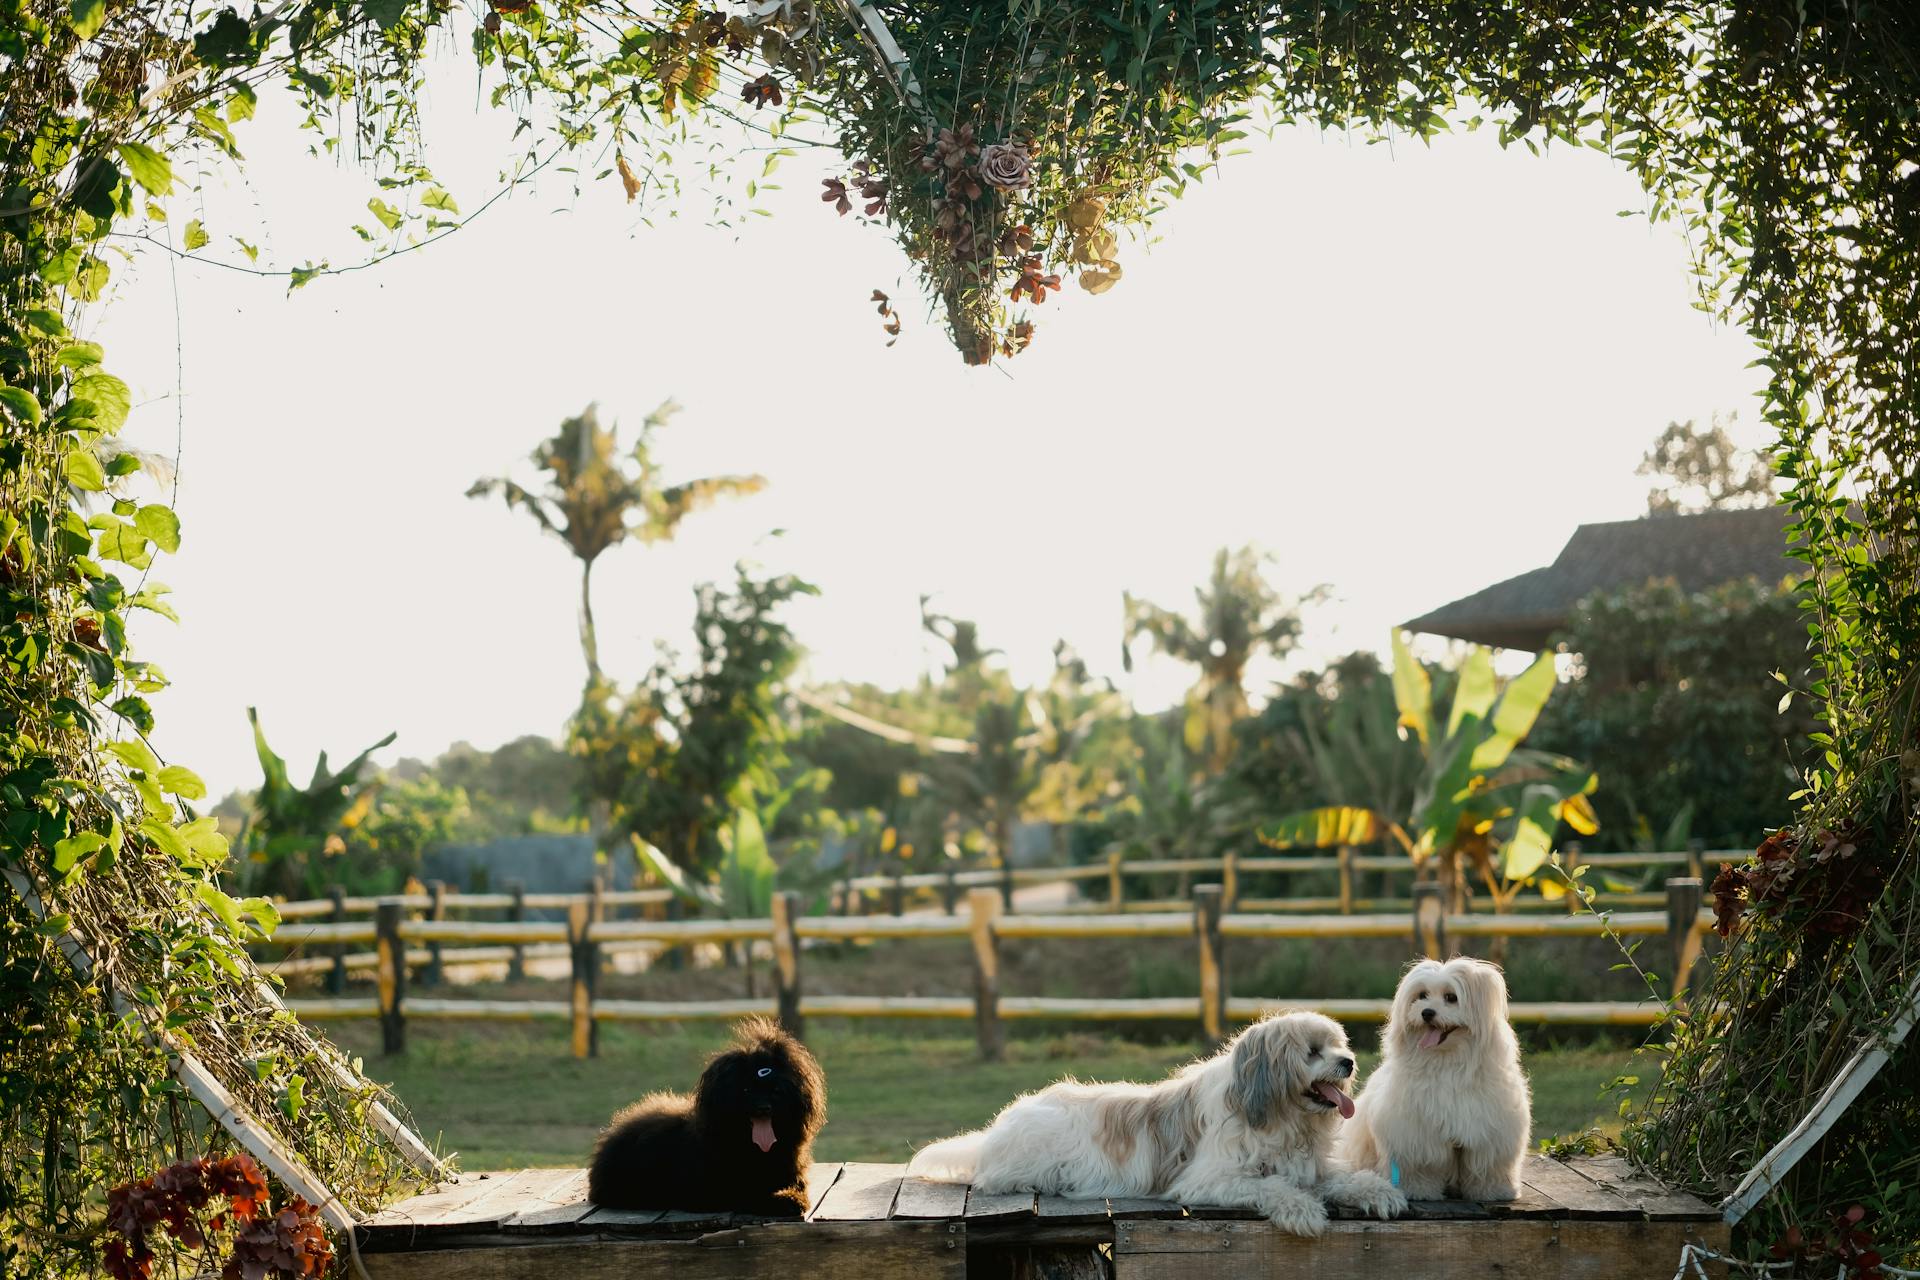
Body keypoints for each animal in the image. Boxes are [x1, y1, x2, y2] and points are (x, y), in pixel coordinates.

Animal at [583, 1013, 825, 1220]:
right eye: (745, 1090)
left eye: (776, 1091)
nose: (763, 1108)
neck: (753, 1148)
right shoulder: (713, 1188)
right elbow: (748, 1194)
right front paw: (785, 1200)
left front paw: (791, 1195)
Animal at [906, 1013, 1405, 1243]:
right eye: (1312, 1051)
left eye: (1338, 1044)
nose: (1349, 1061)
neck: (1276, 1113)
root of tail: (997, 1130)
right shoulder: (1209, 1179)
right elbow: (1270, 1186)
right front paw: (1302, 1211)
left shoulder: (1311, 1168)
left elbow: (1344, 1177)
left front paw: (1378, 1192)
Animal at [1336, 955, 1528, 1205]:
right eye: (1422, 995)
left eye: (1451, 998)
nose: (1426, 1012)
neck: (1447, 1062)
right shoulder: (1416, 1134)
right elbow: (1421, 1167)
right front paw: (1419, 1191)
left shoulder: (1490, 1133)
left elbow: (1488, 1168)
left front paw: (1494, 1192)